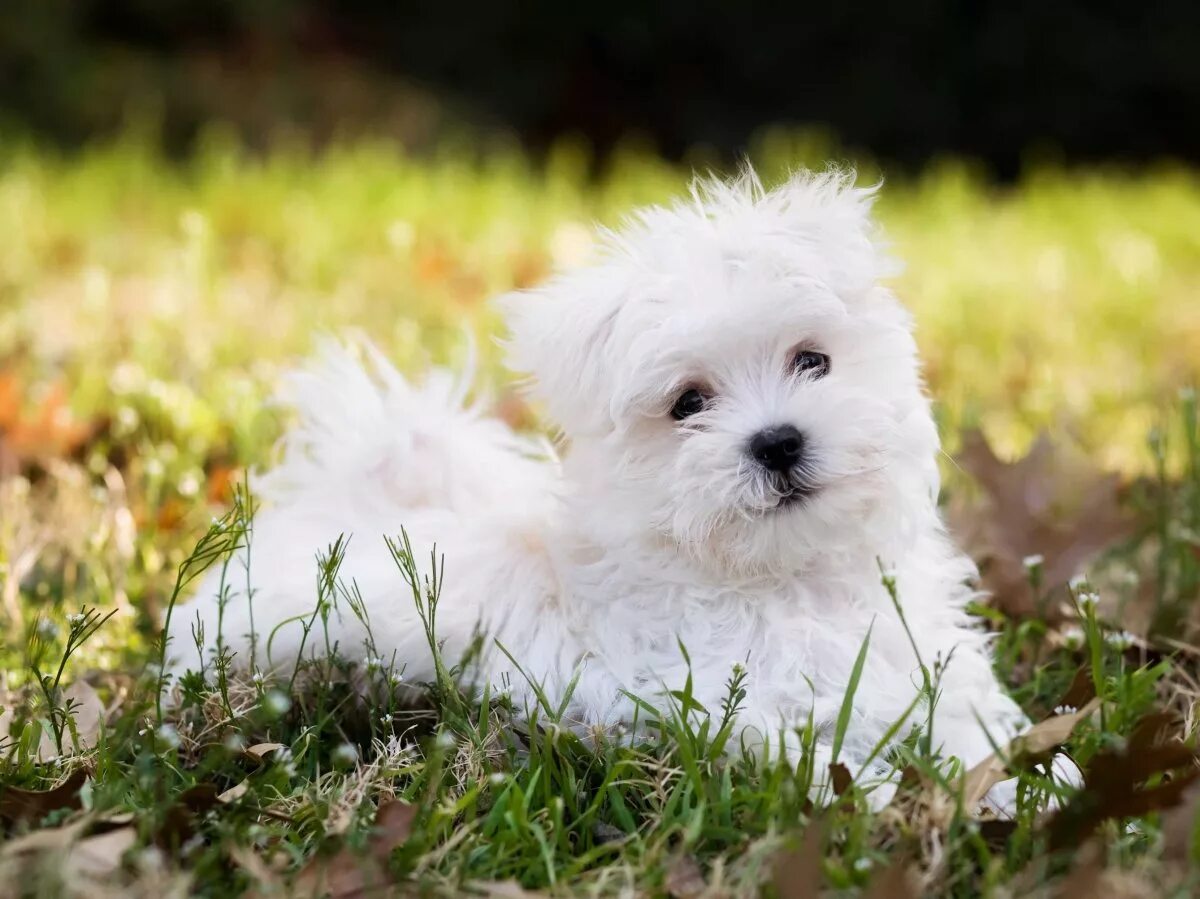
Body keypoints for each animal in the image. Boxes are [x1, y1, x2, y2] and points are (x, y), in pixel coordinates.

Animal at [169, 168, 1032, 801]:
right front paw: (900, 797)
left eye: (812, 360)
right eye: (688, 404)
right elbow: (821, 760)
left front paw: (1037, 782)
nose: (778, 441)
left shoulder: (921, 667)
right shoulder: (728, 712)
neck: (789, 576)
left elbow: (975, 728)